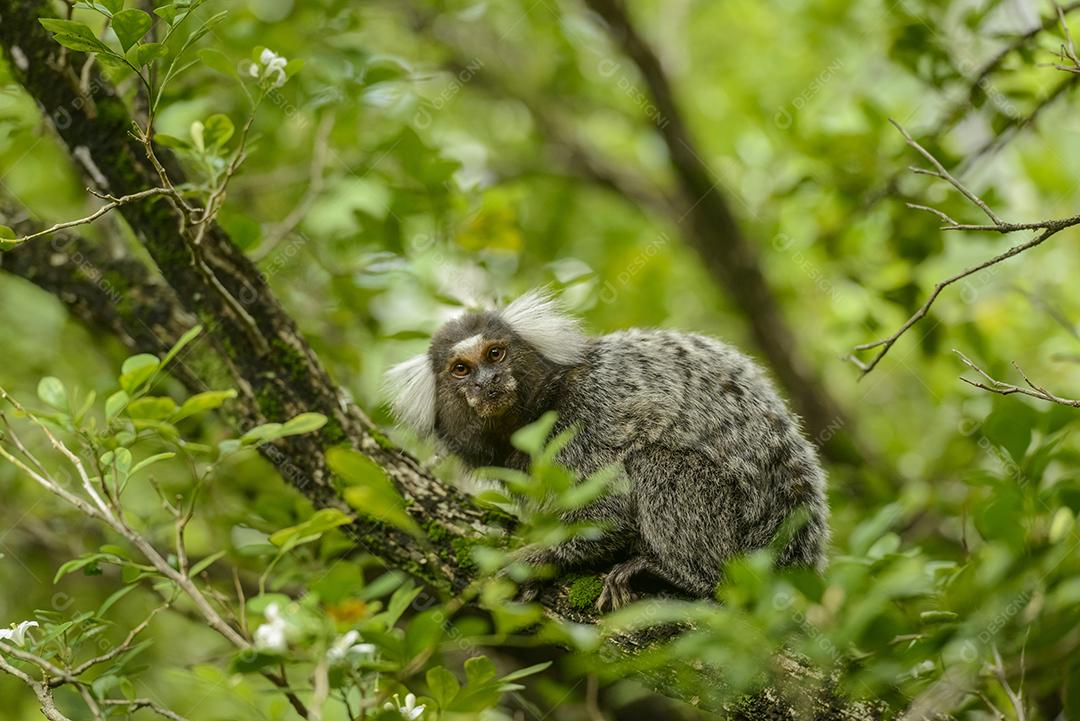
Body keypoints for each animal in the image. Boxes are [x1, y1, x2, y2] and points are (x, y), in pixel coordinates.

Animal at [384, 290, 830, 610]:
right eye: (461, 369)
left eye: (496, 353)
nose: (488, 381)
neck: (535, 411)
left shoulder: (583, 420)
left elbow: (609, 512)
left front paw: (540, 558)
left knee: (657, 463)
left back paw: (678, 574)